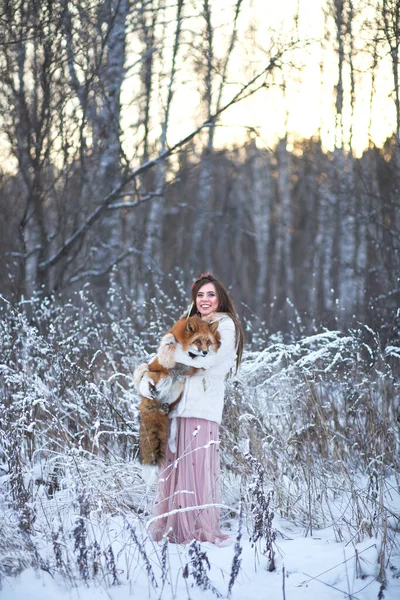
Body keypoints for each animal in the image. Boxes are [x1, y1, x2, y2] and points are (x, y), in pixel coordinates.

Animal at [136, 316, 220, 466]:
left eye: (208, 342)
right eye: (198, 341)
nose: (205, 352)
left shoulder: (194, 366)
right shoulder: (172, 336)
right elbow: (169, 340)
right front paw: (168, 349)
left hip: (178, 385)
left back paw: (163, 408)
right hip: (164, 376)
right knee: (151, 381)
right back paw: (151, 390)